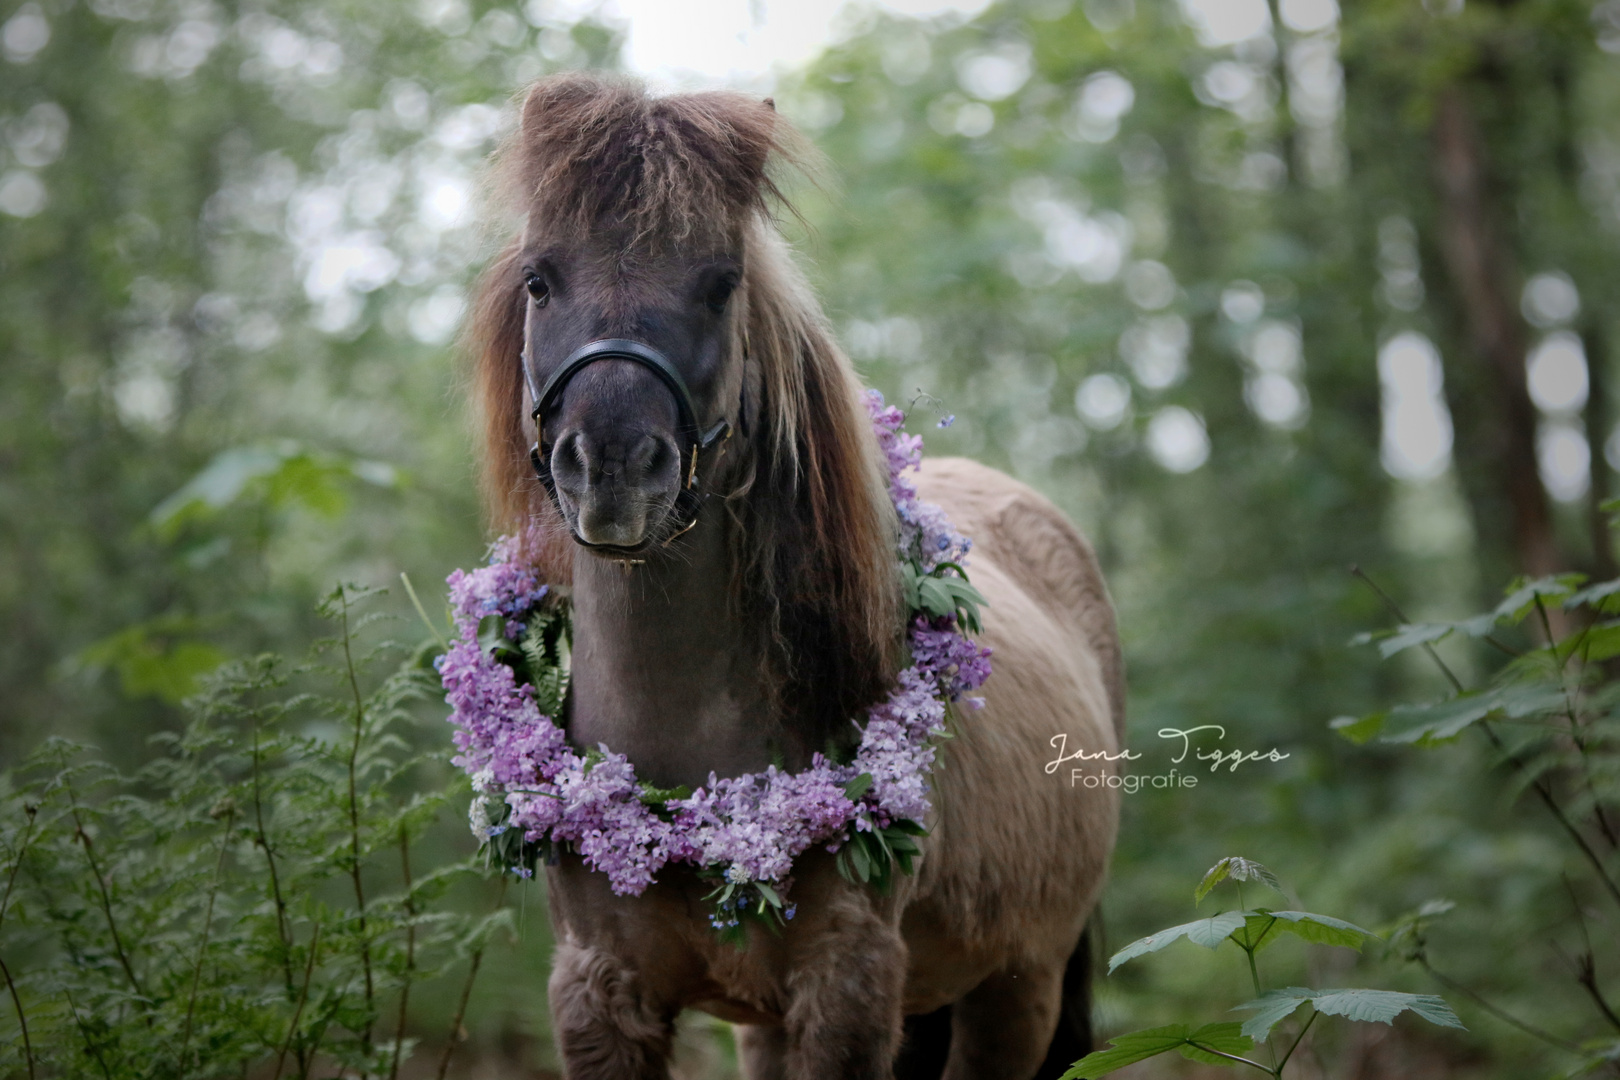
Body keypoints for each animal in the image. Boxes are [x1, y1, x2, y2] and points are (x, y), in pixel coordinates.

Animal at [463, 71, 1121, 1075]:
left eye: (720, 282)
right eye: (540, 277)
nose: (612, 468)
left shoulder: (846, 988)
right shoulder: (600, 993)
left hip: (1018, 990)